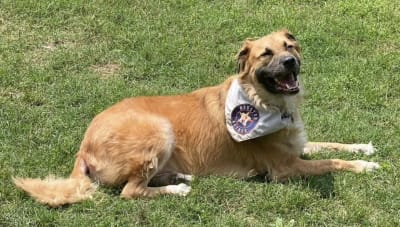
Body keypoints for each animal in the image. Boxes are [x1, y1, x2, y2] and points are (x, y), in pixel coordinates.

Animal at [14, 29, 380, 207]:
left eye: (290, 46)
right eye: (267, 54)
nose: (290, 62)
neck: (266, 101)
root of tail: (84, 145)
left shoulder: (298, 145)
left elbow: (331, 144)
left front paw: (363, 148)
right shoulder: (285, 168)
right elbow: (331, 161)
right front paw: (364, 166)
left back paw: (179, 177)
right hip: (158, 130)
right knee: (130, 191)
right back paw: (176, 189)